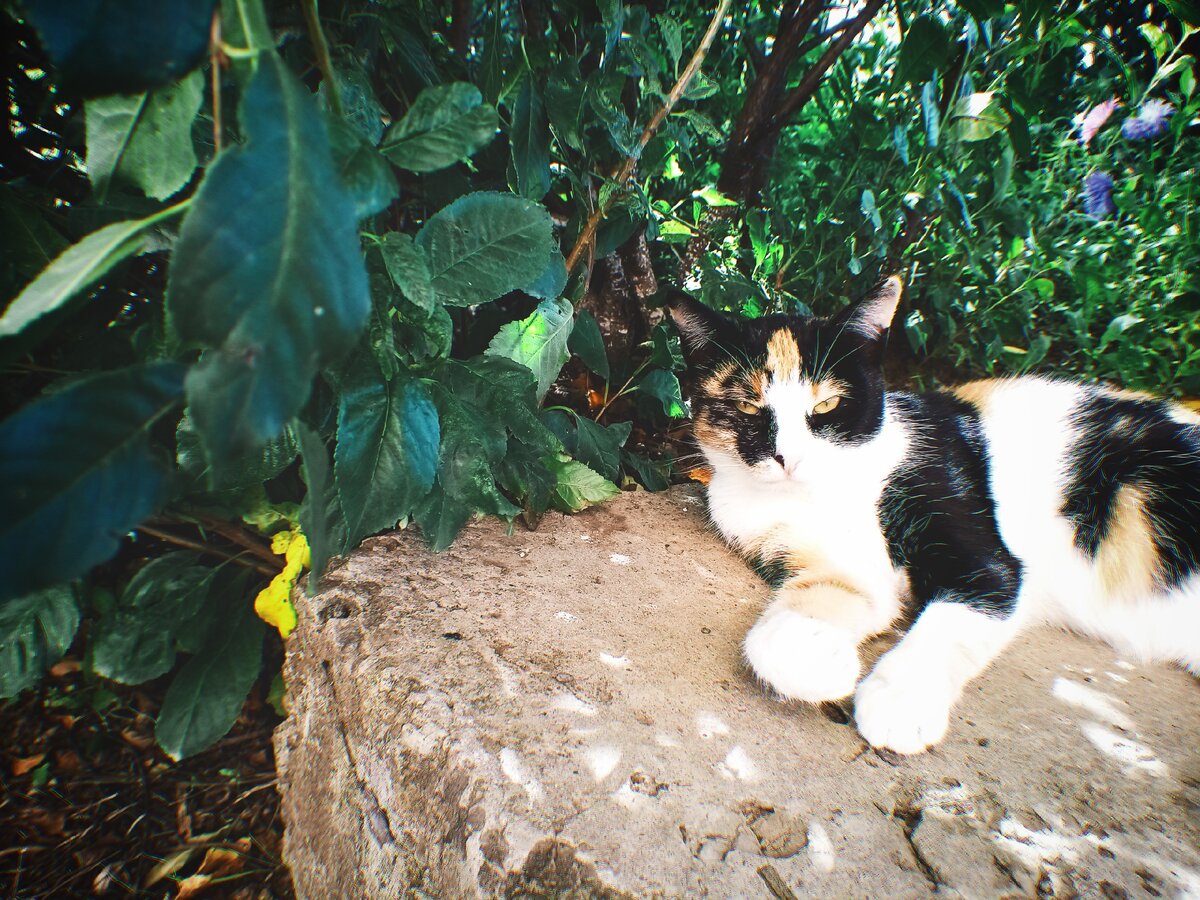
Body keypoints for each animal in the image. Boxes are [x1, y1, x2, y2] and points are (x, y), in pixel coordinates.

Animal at [667, 278, 1200, 758]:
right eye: (746, 405)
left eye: (828, 403)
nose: (788, 458)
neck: (831, 491)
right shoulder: (800, 544)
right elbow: (837, 596)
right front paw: (814, 654)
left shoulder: (977, 543)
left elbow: (959, 610)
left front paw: (899, 702)